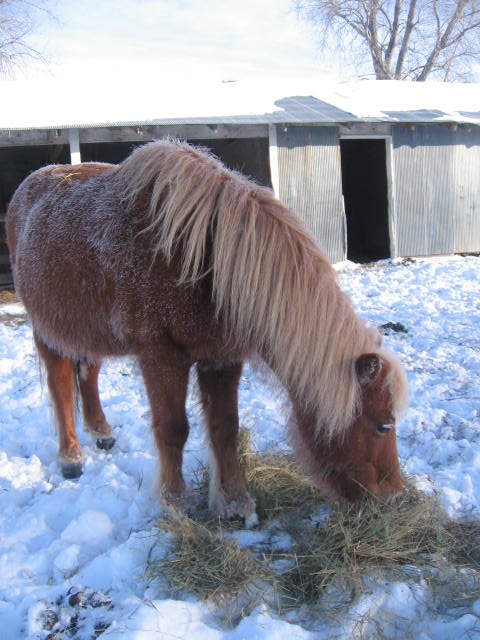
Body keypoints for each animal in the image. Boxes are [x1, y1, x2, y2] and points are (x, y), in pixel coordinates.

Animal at [6, 139, 408, 522]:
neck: (202, 260)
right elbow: (172, 429)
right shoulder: (160, 354)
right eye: (383, 426)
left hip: (87, 331)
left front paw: (236, 504)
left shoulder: (222, 356)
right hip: (47, 330)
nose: (394, 495)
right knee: (60, 385)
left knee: (88, 373)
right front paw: (174, 502)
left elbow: (225, 428)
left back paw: (102, 433)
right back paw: (71, 457)